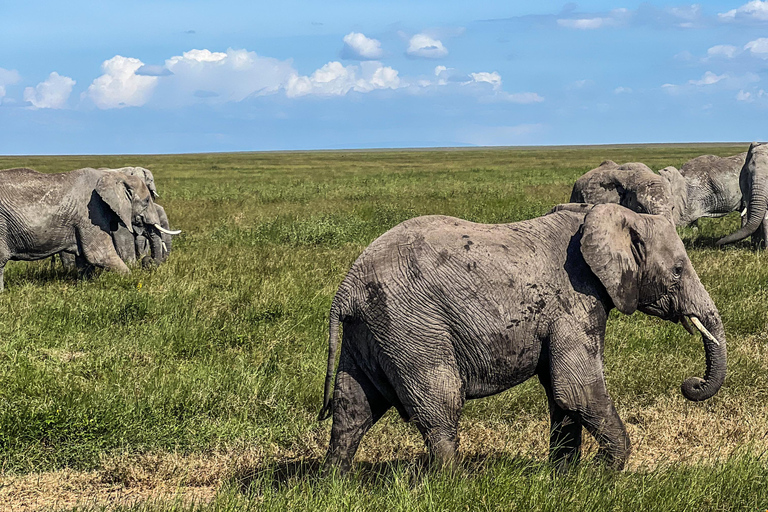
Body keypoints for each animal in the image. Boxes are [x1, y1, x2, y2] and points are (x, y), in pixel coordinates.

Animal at [316, 202, 728, 470]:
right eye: (678, 271)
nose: (690, 383)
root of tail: (347, 288)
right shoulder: (574, 300)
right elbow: (576, 389)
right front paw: (603, 475)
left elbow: (562, 396)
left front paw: (565, 479)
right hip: (411, 326)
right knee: (440, 406)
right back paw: (451, 484)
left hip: (369, 330)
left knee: (353, 408)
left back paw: (334, 483)